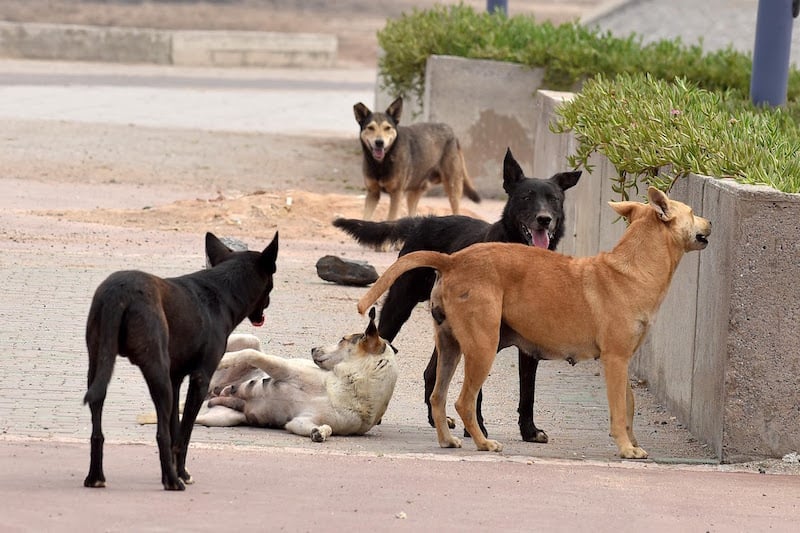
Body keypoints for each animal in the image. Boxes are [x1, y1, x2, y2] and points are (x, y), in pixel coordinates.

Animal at [84, 231, 278, 488]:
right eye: (271, 284)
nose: (267, 305)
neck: (222, 290)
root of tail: (119, 292)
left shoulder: (175, 378)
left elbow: (176, 427)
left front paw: (180, 470)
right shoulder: (200, 378)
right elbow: (183, 434)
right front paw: (182, 473)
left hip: (97, 365)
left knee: (97, 429)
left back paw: (95, 476)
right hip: (157, 371)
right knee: (161, 434)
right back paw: (172, 481)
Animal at [360, 187, 708, 458]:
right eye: (692, 211)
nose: (711, 223)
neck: (633, 269)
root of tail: (454, 260)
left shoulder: (622, 361)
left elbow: (630, 404)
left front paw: (632, 443)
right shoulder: (615, 360)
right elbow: (619, 409)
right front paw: (625, 448)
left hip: (451, 347)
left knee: (438, 395)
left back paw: (447, 439)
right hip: (482, 348)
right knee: (464, 401)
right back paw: (483, 443)